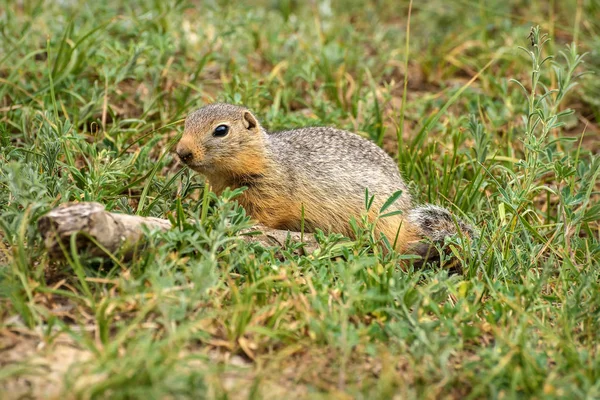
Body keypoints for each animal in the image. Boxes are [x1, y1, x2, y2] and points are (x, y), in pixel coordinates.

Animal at [176, 103, 476, 266]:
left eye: (221, 130)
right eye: (186, 121)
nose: (182, 152)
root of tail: (406, 219)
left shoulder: (270, 192)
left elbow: (265, 216)